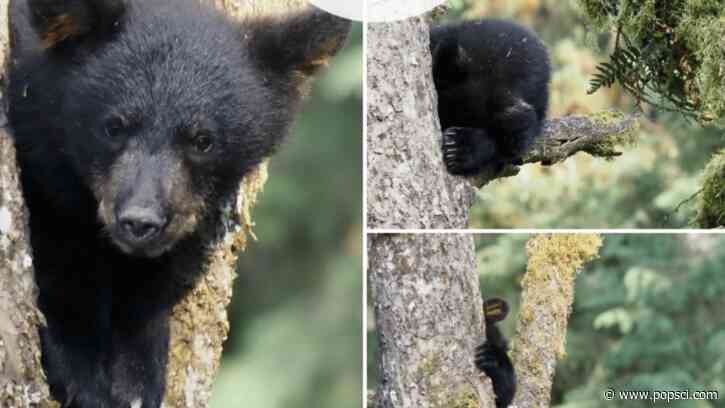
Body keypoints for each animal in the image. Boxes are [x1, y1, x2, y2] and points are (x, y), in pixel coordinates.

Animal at [7, 0, 350, 406]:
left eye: (203, 140)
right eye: (113, 126)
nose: (140, 221)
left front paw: (137, 378)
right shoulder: (47, 183)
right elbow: (60, 267)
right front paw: (82, 377)